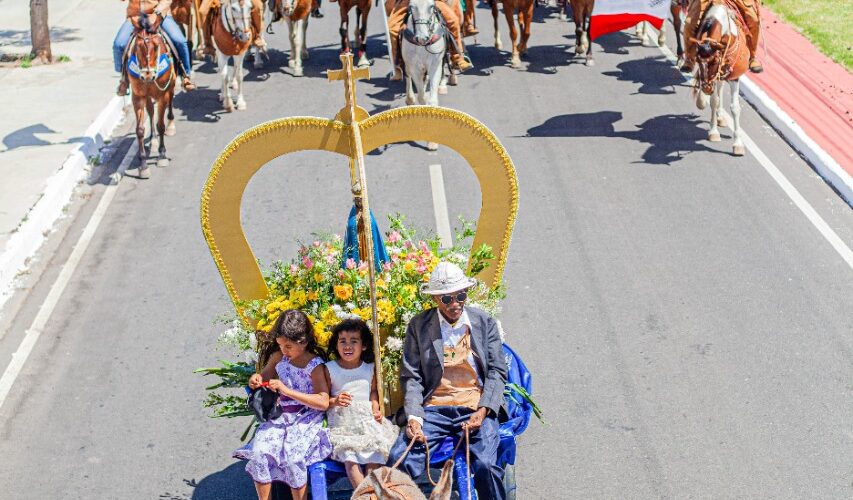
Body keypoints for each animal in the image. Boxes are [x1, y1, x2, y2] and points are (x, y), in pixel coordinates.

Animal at [127, 16, 176, 179]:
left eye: (155, 46)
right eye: (137, 47)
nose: (147, 76)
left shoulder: (162, 95)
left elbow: (160, 125)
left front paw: (162, 155)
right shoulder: (138, 97)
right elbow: (140, 130)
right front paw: (143, 165)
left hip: (171, 86)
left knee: (171, 101)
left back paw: (171, 125)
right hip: (148, 96)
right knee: (150, 110)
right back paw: (153, 140)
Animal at [692, 0, 744, 155]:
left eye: (714, 61)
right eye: (698, 61)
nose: (707, 88)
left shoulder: (733, 77)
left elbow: (735, 107)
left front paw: (738, 144)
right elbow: (714, 101)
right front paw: (713, 132)